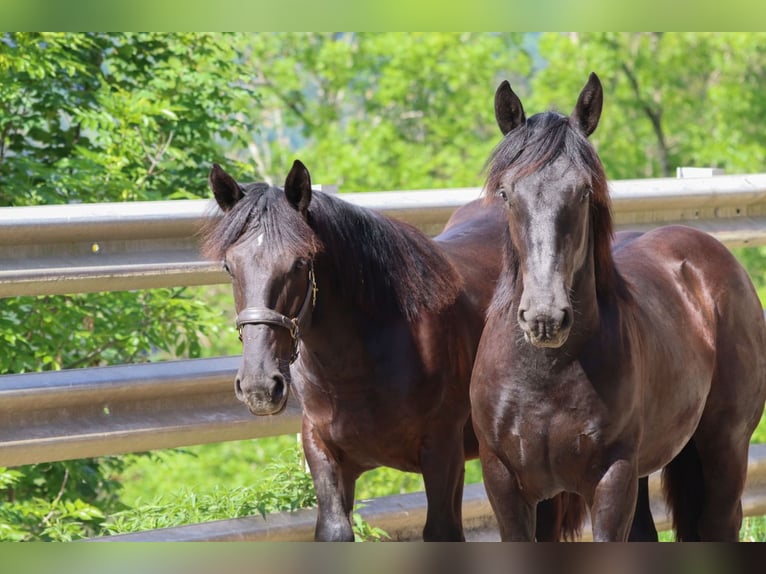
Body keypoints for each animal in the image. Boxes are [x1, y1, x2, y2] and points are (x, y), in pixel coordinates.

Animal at [202, 159, 586, 541]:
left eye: (299, 262)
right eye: (229, 267)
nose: (259, 386)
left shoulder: (443, 452)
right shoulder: (321, 448)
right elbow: (335, 529)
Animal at [470, 72, 766, 541]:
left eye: (584, 190)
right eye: (505, 193)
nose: (544, 318)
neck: (545, 376)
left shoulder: (612, 479)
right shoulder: (507, 484)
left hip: (725, 448)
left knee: (720, 521)